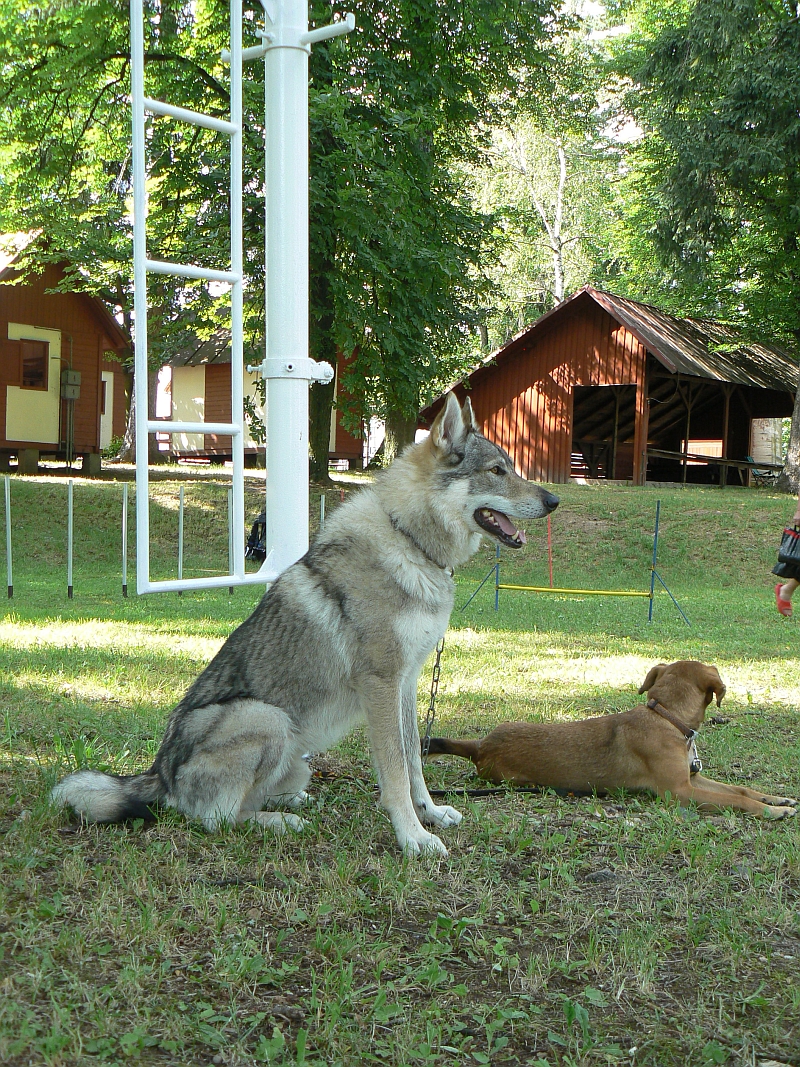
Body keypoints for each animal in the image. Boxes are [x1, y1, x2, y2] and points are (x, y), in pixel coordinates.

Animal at [426, 657, 797, 815]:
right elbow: (737, 799)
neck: (665, 717)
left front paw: (776, 800)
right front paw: (771, 812)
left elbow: (740, 789)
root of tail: (481, 746)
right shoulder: (679, 792)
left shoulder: (692, 780)